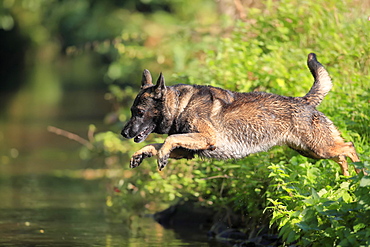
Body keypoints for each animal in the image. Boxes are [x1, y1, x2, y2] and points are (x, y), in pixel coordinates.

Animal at [121, 52, 362, 176]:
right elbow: (158, 144)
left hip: (318, 148)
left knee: (349, 148)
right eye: (132, 112)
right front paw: (141, 154)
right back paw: (347, 178)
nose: (123, 133)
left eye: (139, 112)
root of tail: (304, 100)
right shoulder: (187, 150)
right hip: (312, 151)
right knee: (342, 155)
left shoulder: (206, 138)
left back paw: (360, 174)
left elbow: (168, 140)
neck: (181, 105)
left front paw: (160, 156)